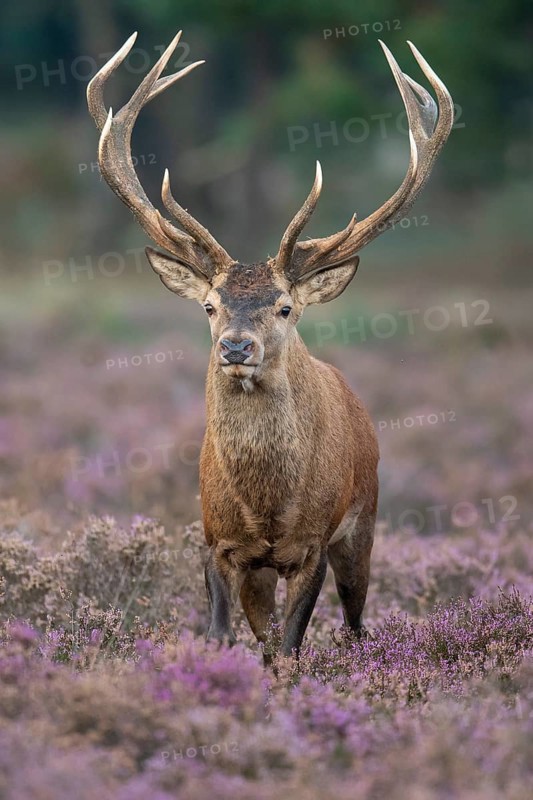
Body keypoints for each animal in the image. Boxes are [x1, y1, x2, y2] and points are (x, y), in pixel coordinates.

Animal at [87, 31, 453, 663]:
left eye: (285, 307)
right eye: (210, 306)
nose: (236, 347)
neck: (265, 509)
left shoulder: (312, 545)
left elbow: (290, 645)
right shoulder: (217, 542)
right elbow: (226, 633)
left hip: (364, 523)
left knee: (357, 620)